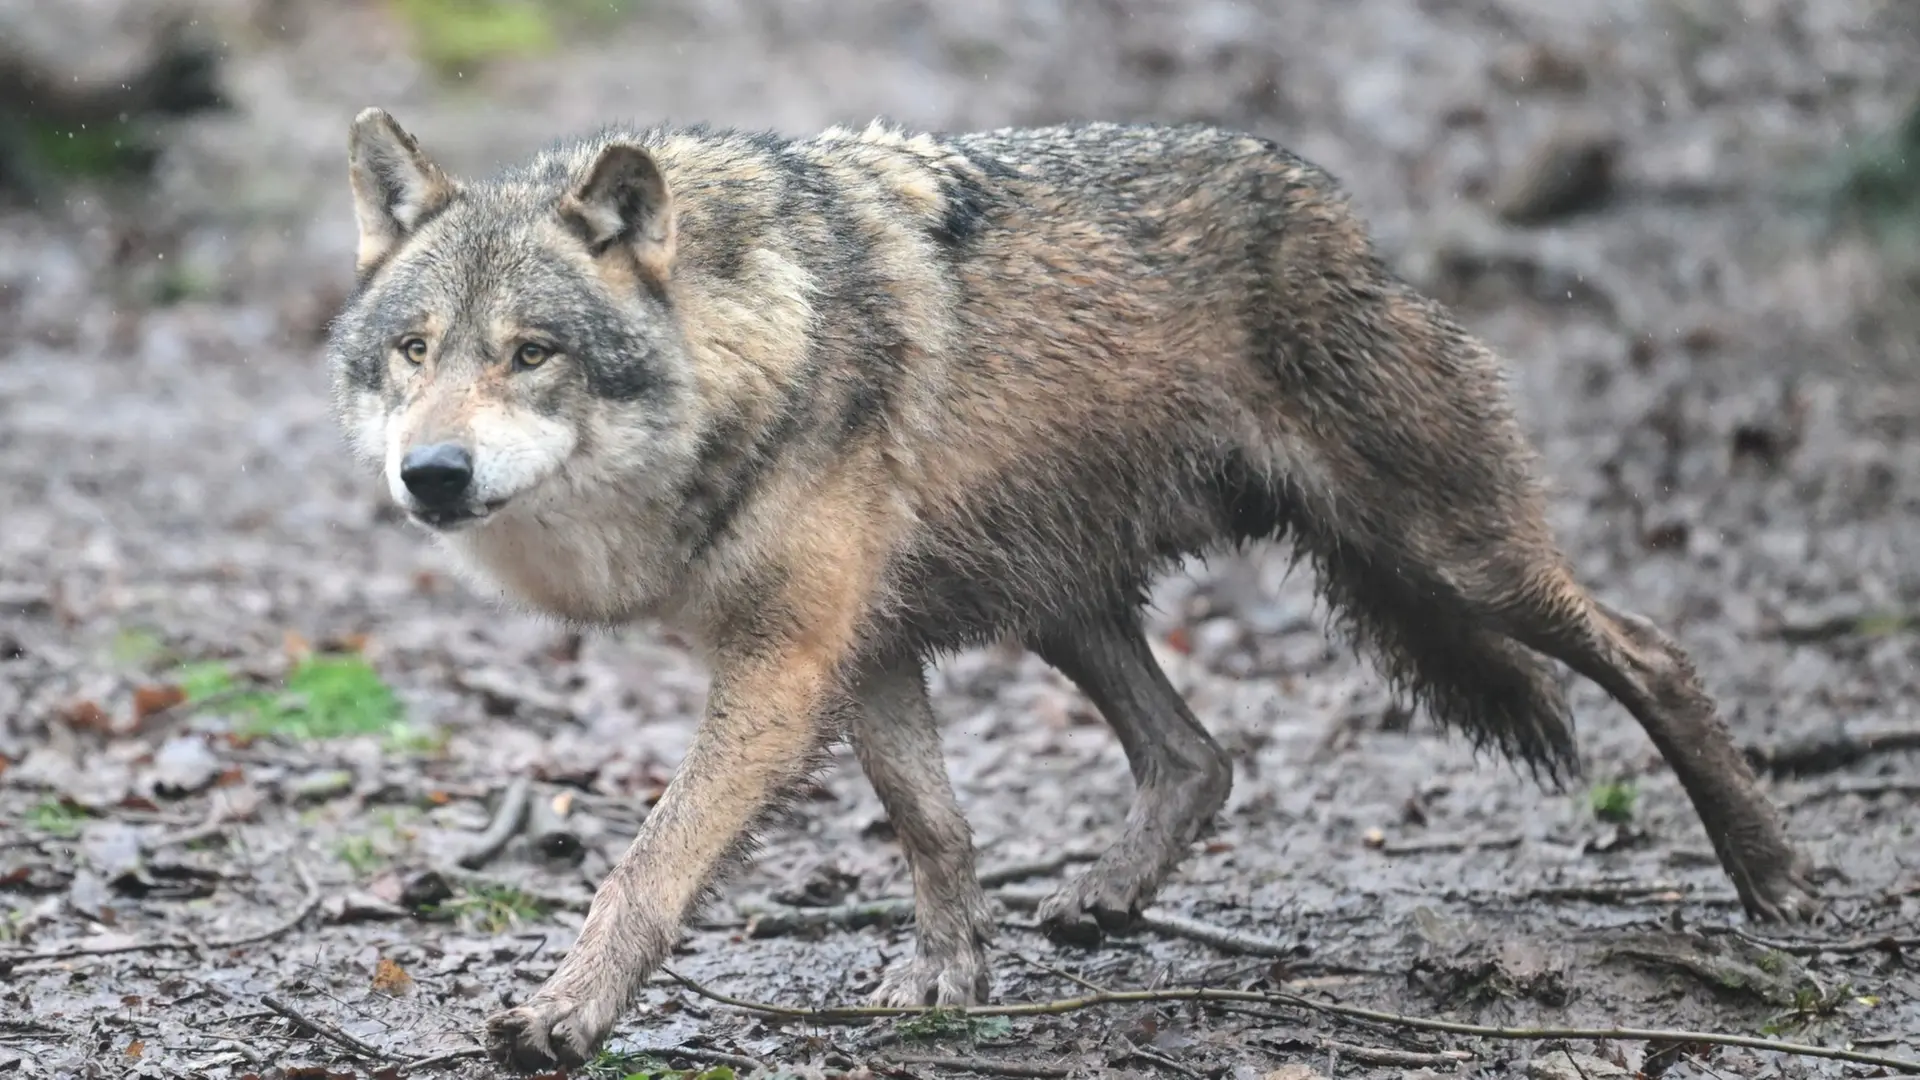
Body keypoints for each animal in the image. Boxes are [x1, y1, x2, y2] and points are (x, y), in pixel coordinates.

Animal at [325, 107, 1817, 1070]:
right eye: (414, 349)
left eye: (531, 353)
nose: (432, 474)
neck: (751, 345)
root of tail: (1339, 210)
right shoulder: (862, 650)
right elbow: (934, 825)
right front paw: (947, 979)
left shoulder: (786, 663)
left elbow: (646, 866)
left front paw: (562, 1017)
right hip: (1063, 601)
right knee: (1200, 756)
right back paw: (1104, 899)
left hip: (1449, 555)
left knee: (1654, 651)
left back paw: (1774, 880)